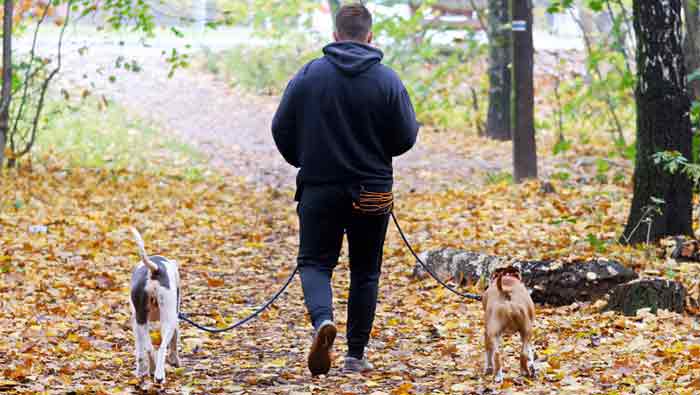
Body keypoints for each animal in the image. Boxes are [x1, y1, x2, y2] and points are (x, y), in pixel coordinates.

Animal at [129, 227, 180, 386]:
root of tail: (154, 270)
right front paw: (175, 361)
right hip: (168, 319)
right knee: (162, 347)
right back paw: (159, 375)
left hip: (141, 320)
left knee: (149, 348)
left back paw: (153, 372)